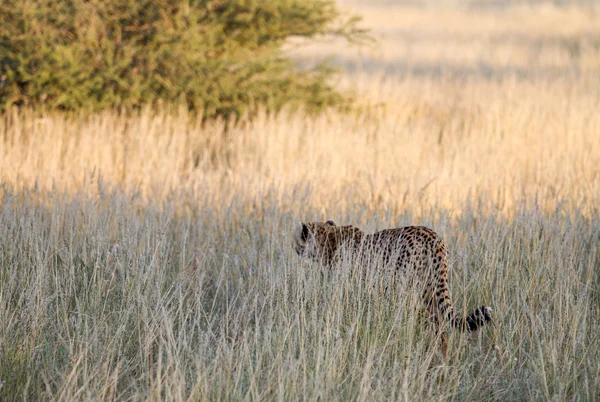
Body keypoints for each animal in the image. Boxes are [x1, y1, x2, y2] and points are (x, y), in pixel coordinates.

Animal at [292, 220, 492, 354]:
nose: (294, 248)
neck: (330, 237)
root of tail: (432, 236)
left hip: (406, 291)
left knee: (429, 320)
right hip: (430, 291)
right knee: (441, 324)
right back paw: (441, 357)